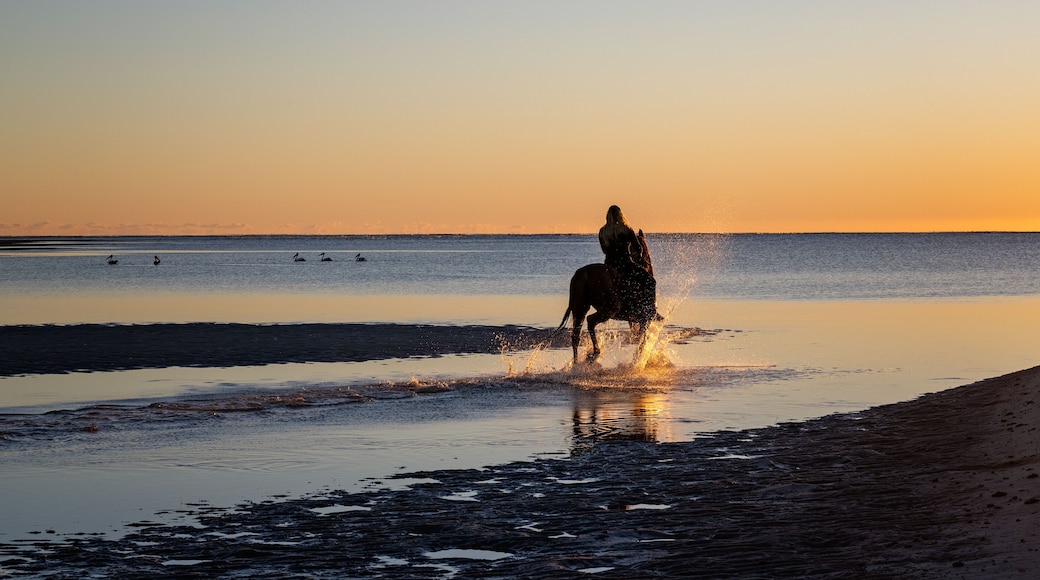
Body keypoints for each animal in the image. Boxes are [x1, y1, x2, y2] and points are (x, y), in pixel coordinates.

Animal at [557, 230, 658, 363]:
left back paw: (577, 362)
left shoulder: (638, 320)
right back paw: (595, 352)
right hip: (609, 309)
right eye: (643, 248)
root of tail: (583, 273)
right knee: (590, 321)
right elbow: (642, 340)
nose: (647, 261)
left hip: (580, 309)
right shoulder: (644, 319)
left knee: (576, 336)